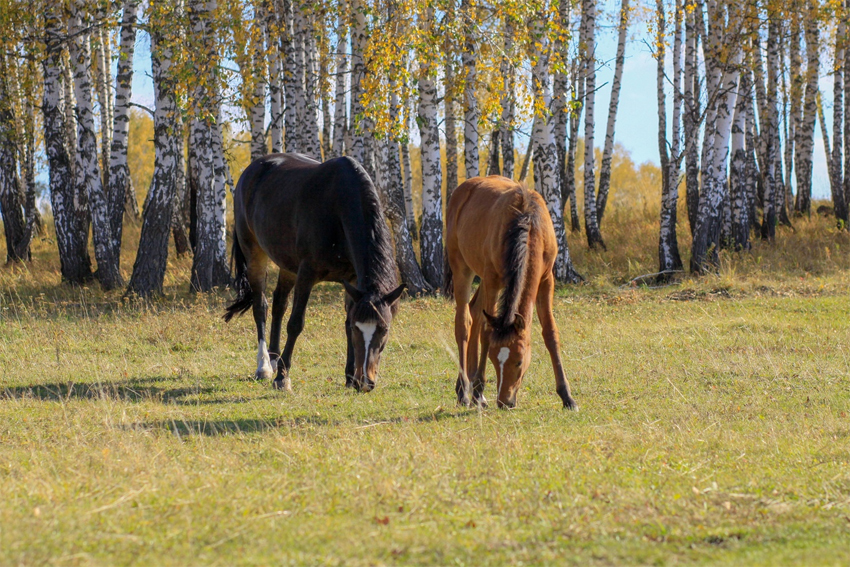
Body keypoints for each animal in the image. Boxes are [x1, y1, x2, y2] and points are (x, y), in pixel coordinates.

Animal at [225, 154, 404, 394]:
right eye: (359, 329)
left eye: (384, 330)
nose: (365, 382)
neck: (338, 208)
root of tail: (251, 170)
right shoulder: (307, 274)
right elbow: (295, 324)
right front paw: (282, 378)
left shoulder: (353, 280)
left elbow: (346, 320)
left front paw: (349, 377)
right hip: (255, 254)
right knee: (260, 306)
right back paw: (264, 366)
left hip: (287, 264)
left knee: (279, 303)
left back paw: (274, 358)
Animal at [444, 175, 576, 410]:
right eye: (494, 359)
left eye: (519, 361)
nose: (505, 401)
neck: (527, 226)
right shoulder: (493, 279)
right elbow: (487, 333)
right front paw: (478, 390)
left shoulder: (546, 279)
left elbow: (550, 333)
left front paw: (567, 396)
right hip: (462, 268)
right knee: (464, 322)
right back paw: (465, 392)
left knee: (475, 312)